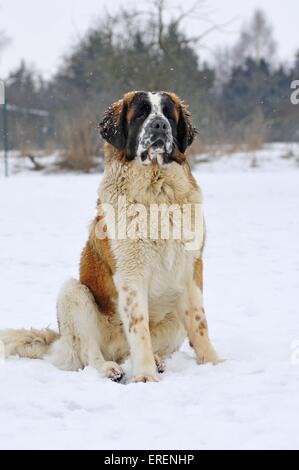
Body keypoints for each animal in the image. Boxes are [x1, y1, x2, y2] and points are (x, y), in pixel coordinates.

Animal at [0, 91, 221, 382]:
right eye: (141, 114)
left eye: (168, 115)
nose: (159, 125)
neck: (156, 190)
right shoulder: (130, 274)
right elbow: (139, 329)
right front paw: (146, 377)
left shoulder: (190, 270)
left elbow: (199, 323)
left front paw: (214, 364)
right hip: (74, 293)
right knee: (89, 352)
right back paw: (110, 369)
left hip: (173, 317)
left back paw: (156, 360)